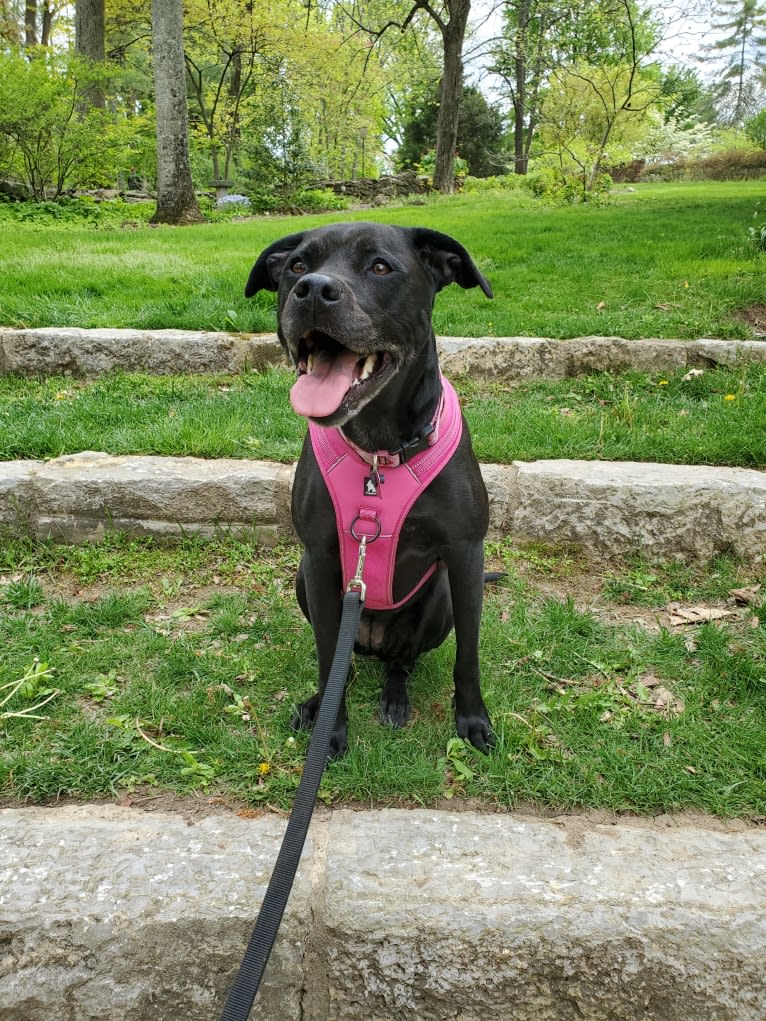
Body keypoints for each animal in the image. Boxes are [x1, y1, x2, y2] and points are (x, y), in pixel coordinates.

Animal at [249, 223, 494, 759]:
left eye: (381, 267)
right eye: (296, 265)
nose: (313, 289)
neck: (378, 451)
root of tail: (371, 639)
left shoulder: (466, 555)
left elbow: (468, 654)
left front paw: (472, 720)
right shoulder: (319, 560)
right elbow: (326, 658)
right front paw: (329, 728)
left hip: (438, 600)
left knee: (401, 662)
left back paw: (395, 699)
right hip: (304, 584)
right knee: (344, 663)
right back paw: (318, 703)